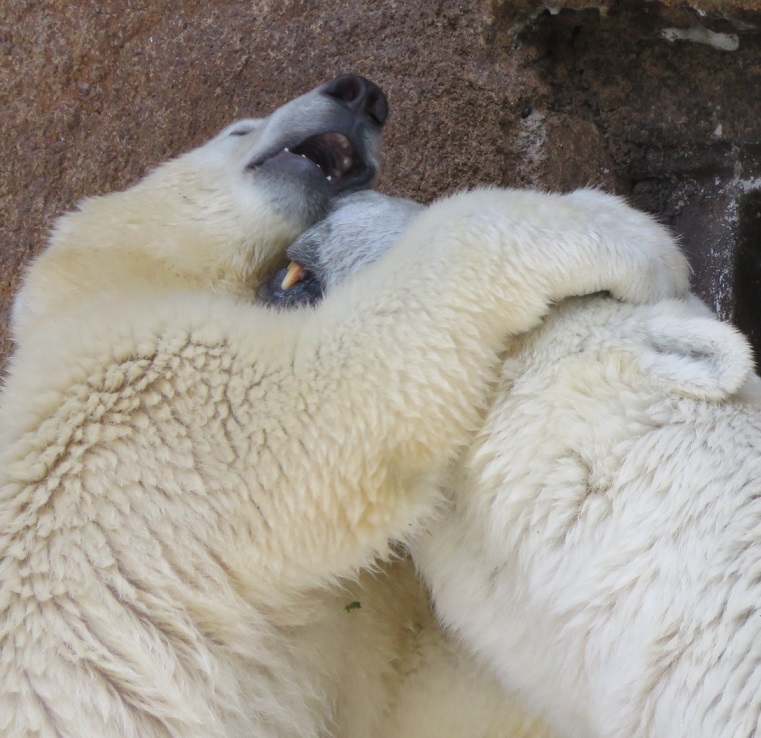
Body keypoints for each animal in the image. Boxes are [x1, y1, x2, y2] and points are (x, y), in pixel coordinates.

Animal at [0, 72, 688, 732]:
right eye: (238, 128)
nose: (359, 94)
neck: (98, 298)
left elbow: (427, 687)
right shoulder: (133, 408)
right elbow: (321, 393)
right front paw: (627, 233)